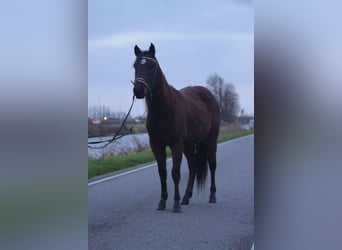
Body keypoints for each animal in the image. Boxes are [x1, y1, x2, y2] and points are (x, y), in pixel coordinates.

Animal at [132, 43, 220, 213]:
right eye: (135, 66)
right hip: (188, 144)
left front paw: (176, 204)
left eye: (152, 66)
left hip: (210, 140)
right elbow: (162, 173)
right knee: (193, 166)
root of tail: (207, 93)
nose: (138, 90)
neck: (163, 110)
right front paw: (162, 202)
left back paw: (212, 196)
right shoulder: (156, 145)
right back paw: (187, 197)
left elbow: (176, 173)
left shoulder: (176, 144)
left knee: (212, 165)